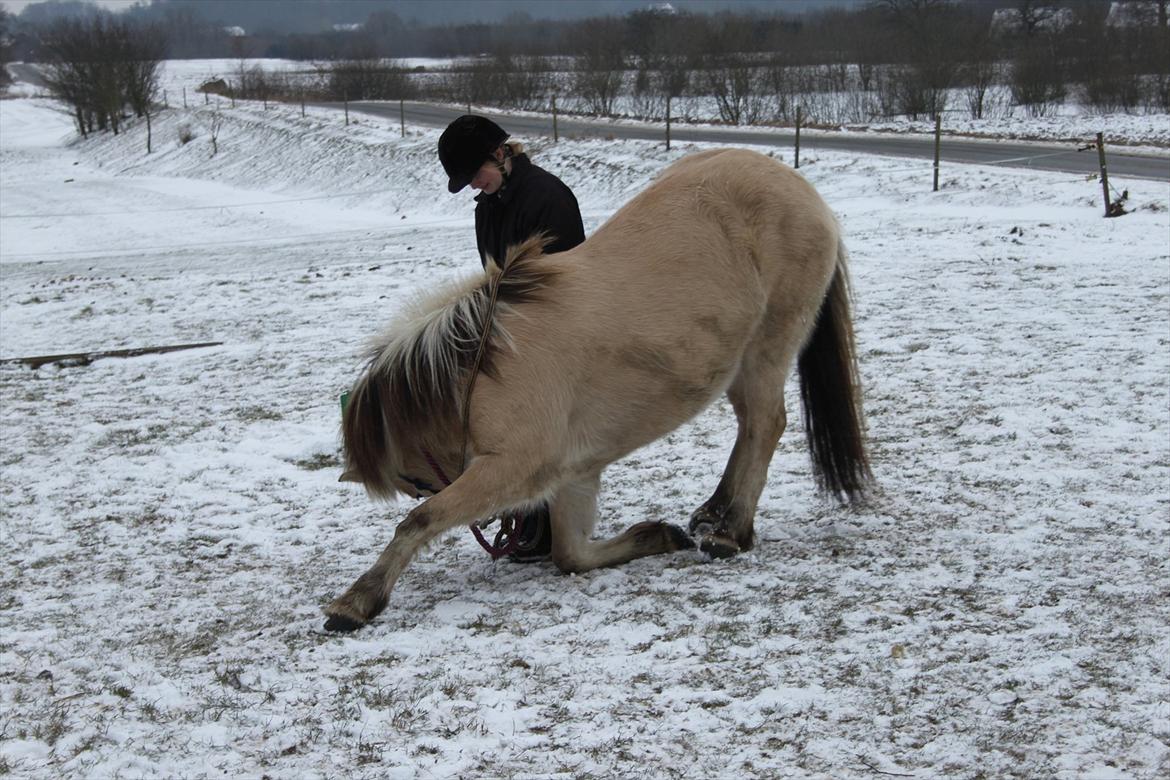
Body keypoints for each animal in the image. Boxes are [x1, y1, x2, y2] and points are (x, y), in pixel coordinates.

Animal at [320, 147, 870, 636]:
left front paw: (357, 602)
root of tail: (802, 190)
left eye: (416, 479)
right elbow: (572, 555)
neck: (485, 366)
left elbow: (420, 521)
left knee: (764, 424)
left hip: (767, 348)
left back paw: (731, 533)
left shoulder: (514, 467)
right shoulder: (574, 470)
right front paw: (655, 536)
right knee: (746, 428)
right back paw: (712, 512)